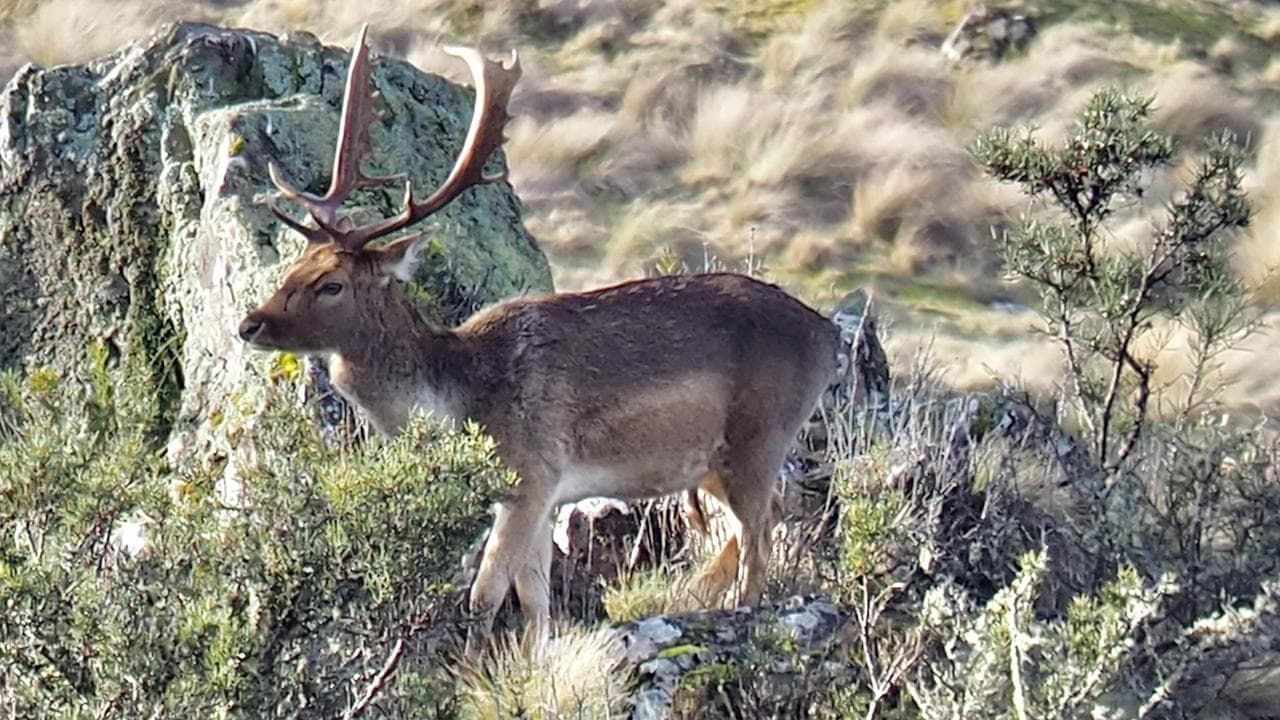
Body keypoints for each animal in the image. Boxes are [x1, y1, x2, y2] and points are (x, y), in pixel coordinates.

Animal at [238, 26, 843, 652]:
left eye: (330, 284)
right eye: (295, 265)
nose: (249, 324)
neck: (461, 396)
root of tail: (828, 334)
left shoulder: (530, 472)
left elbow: (485, 592)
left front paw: (473, 667)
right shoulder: (550, 495)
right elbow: (534, 596)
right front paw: (530, 657)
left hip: (760, 435)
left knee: (760, 537)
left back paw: (738, 610)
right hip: (714, 465)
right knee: (764, 522)